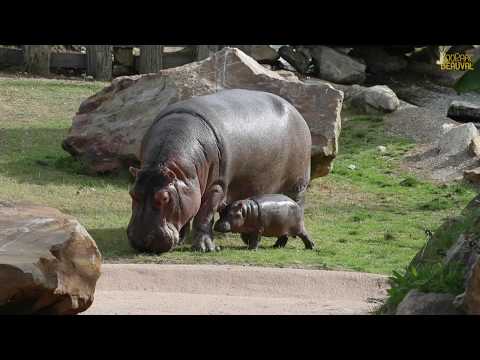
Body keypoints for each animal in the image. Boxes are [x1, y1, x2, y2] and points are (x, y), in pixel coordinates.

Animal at [126, 88, 312, 252]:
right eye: (132, 193)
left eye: (164, 198)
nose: (142, 242)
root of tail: (295, 110)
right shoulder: (187, 191)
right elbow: (187, 211)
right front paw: (180, 240)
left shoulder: (217, 186)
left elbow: (204, 215)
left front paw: (205, 248)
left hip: (297, 185)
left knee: (296, 207)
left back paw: (280, 242)